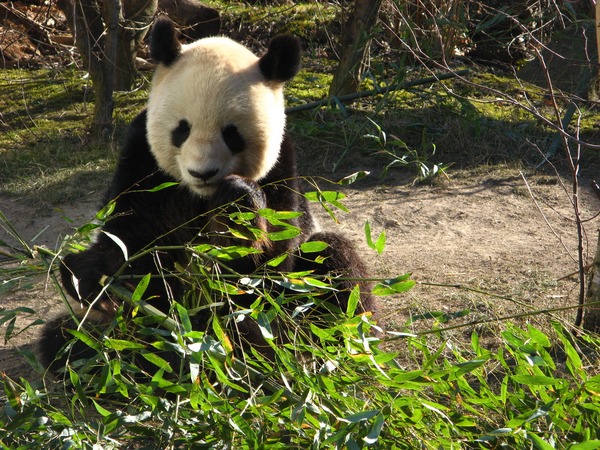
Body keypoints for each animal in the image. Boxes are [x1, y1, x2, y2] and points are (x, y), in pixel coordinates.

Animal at [39, 16, 376, 372]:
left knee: (332, 264)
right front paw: (92, 277)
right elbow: (129, 240)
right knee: (67, 340)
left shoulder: (281, 165)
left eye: (232, 134)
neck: (200, 196)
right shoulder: (142, 162)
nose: (203, 173)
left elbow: (271, 259)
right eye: (181, 129)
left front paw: (238, 202)